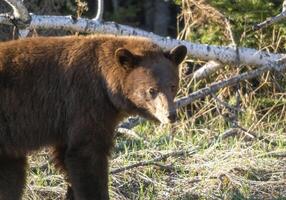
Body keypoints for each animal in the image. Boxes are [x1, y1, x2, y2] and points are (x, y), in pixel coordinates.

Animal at [0, 34, 187, 198]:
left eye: (173, 86)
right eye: (151, 90)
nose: (170, 115)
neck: (106, 86)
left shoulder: (68, 122)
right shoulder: (85, 102)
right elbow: (87, 156)